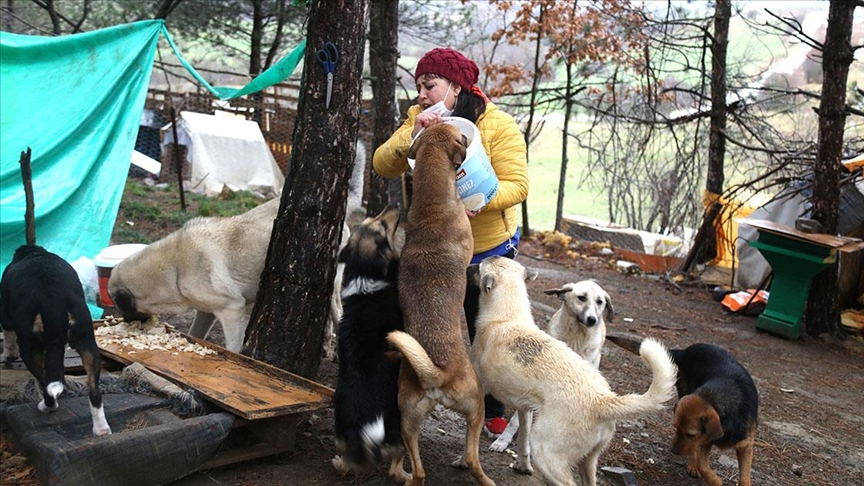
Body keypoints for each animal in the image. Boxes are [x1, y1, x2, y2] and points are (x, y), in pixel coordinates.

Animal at [332, 205, 410, 482]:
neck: (365, 280)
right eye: (383, 227)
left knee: (346, 461)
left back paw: (338, 462)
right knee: (396, 463)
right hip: (400, 426)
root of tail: (361, 427)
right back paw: (406, 475)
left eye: (370, 220)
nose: (393, 206)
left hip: (341, 431)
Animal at [388, 124, 496, 486]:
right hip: (475, 405)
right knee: (473, 457)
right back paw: (483, 477)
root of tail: (436, 371)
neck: (432, 205)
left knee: (416, 470)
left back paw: (405, 475)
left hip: (407, 419)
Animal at [492, 280, 616, 452]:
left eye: (600, 302)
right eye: (581, 297)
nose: (592, 320)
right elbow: (516, 418)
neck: (576, 336)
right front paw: (503, 440)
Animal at [608, 336, 756, 486]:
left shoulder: (746, 446)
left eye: (691, 434)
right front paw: (715, 481)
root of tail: (686, 351)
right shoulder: (704, 441)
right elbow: (703, 466)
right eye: (676, 428)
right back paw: (692, 466)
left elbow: (745, 475)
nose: (673, 451)